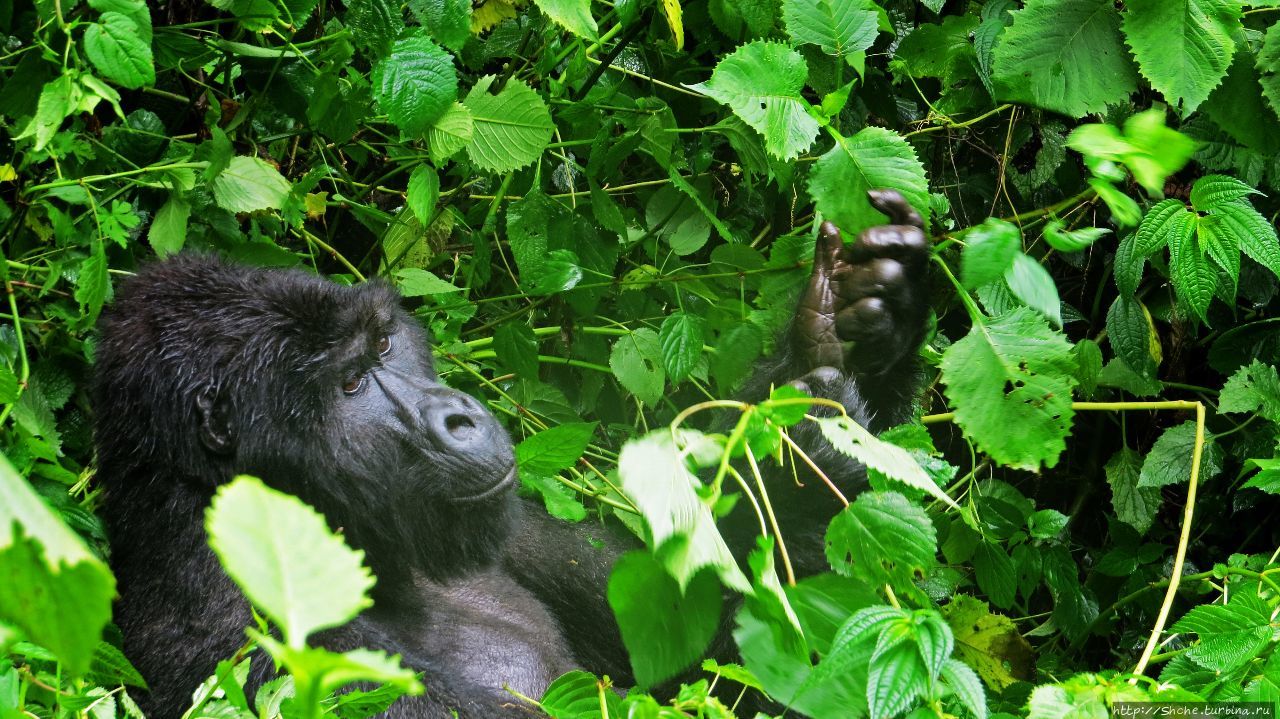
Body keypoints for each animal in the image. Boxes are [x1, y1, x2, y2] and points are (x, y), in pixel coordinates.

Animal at [90, 189, 931, 711]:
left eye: (385, 342)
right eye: (351, 383)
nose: (458, 417)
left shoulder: (519, 521)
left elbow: (705, 635)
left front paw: (830, 355)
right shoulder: (250, 633)